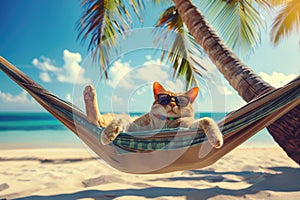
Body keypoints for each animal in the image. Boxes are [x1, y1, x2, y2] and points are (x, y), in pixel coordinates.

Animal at [84, 81, 223, 148]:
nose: (172, 103)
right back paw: (89, 94)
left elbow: (207, 120)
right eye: (164, 99)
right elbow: (119, 121)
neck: (167, 123)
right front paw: (108, 134)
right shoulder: (132, 126)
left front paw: (216, 138)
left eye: (181, 101)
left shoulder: (188, 127)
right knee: (98, 120)